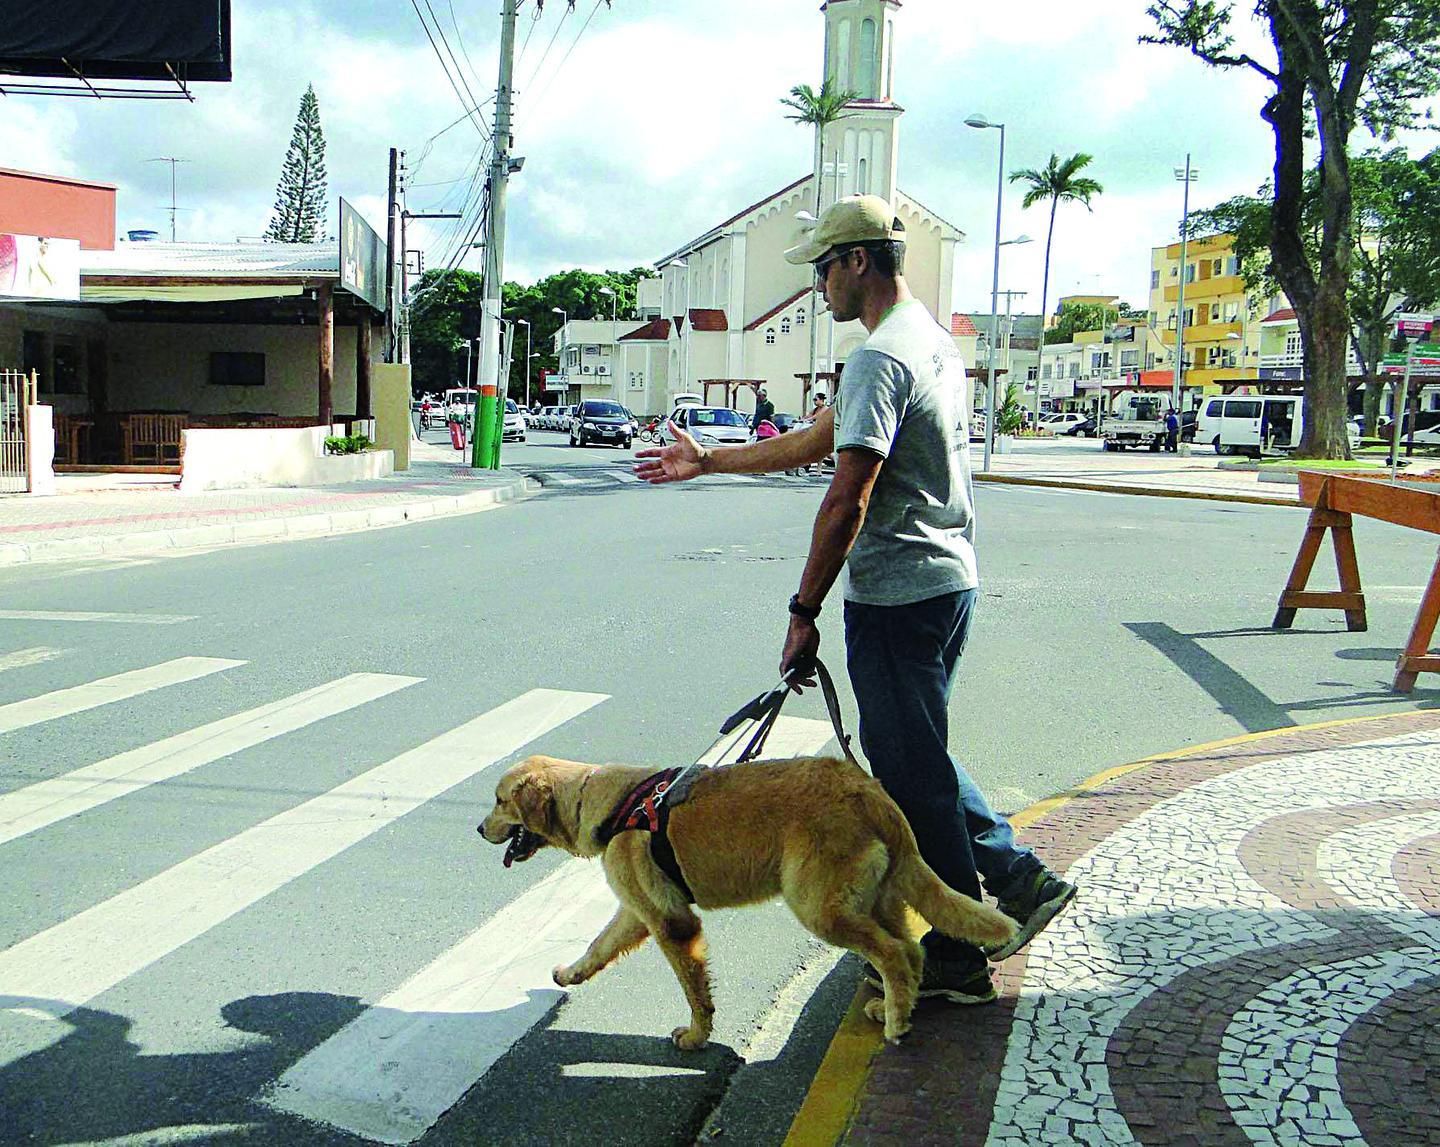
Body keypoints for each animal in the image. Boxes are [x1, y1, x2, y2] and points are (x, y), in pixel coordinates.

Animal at [478, 754, 1019, 1047]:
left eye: (500, 801)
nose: (479, 829)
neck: (607, 802)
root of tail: (870, 791)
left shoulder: (671, 923)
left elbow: (695, 992)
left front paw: (696, 1037)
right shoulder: (639, 911)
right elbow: (598, 945)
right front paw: (571, 973)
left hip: (820, 908)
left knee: (890, 953)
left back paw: (896, 1021)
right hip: (876, 899)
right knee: (909, 950)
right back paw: (893, 1005)